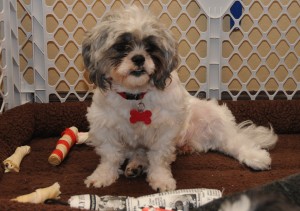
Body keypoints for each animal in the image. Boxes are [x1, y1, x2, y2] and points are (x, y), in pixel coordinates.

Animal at [81, 6, 276, 191]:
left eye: (150, 48)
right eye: (121, 47)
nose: (139, 58)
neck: (135, 95)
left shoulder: (165, 129)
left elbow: (159, 157)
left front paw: (161, 179)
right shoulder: (104, 127)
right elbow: (110, 156)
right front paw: (103, 175)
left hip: (212, 117)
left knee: (234, 141)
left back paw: (255, 157)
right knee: (138, 152)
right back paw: (137, 165)